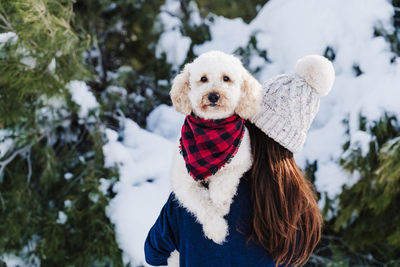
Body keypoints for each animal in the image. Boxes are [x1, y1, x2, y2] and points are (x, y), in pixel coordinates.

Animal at [169, 49, 262, 253]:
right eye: (203, 79)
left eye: (226, 78)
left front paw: (221, 204)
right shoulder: (183, 183)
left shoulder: (242, 162)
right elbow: (202, 204)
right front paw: (217, 230)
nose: (213, 96)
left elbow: (223, 182)